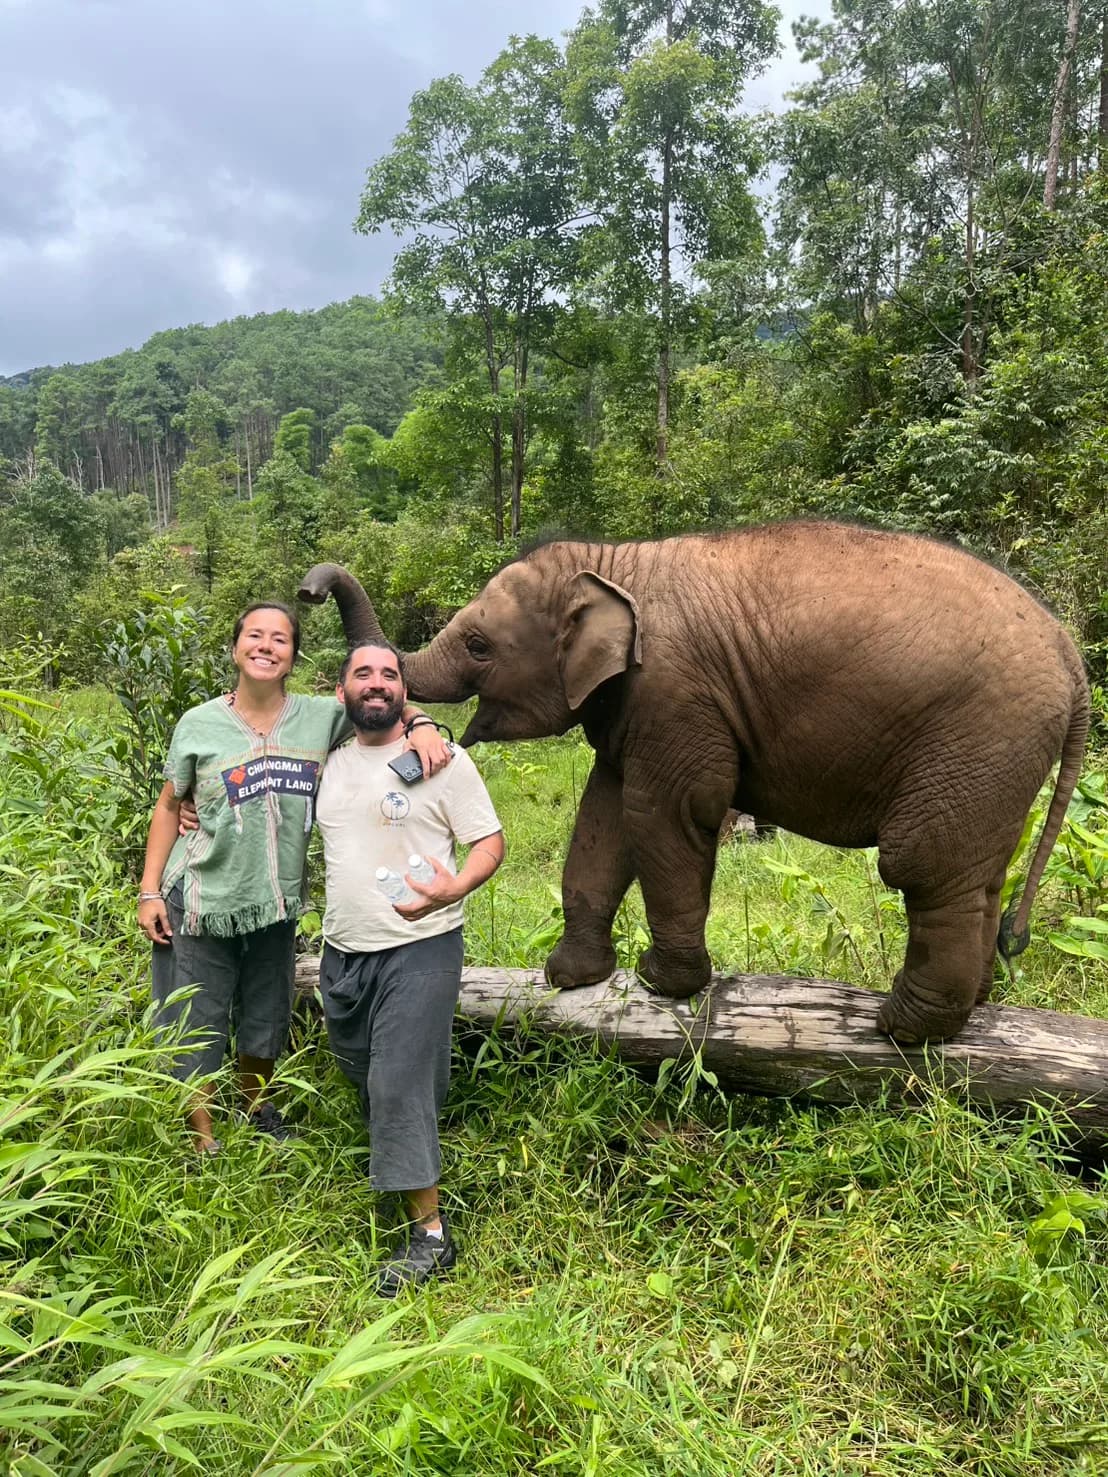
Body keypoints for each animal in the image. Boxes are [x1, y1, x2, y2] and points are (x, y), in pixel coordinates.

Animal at [298, 520, 1090, 1043]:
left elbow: (667, 811)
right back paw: (970, 1007)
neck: (613, 562)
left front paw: (661, 983)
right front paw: (569, 977)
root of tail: (1072, 658)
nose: (307, 591)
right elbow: (604, 816)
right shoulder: (636, 703)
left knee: (923, 865)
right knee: (980, 874)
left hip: (981, 736)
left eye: (478, 645)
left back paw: (901, 1027)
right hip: (997, 758)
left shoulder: (675, 690)